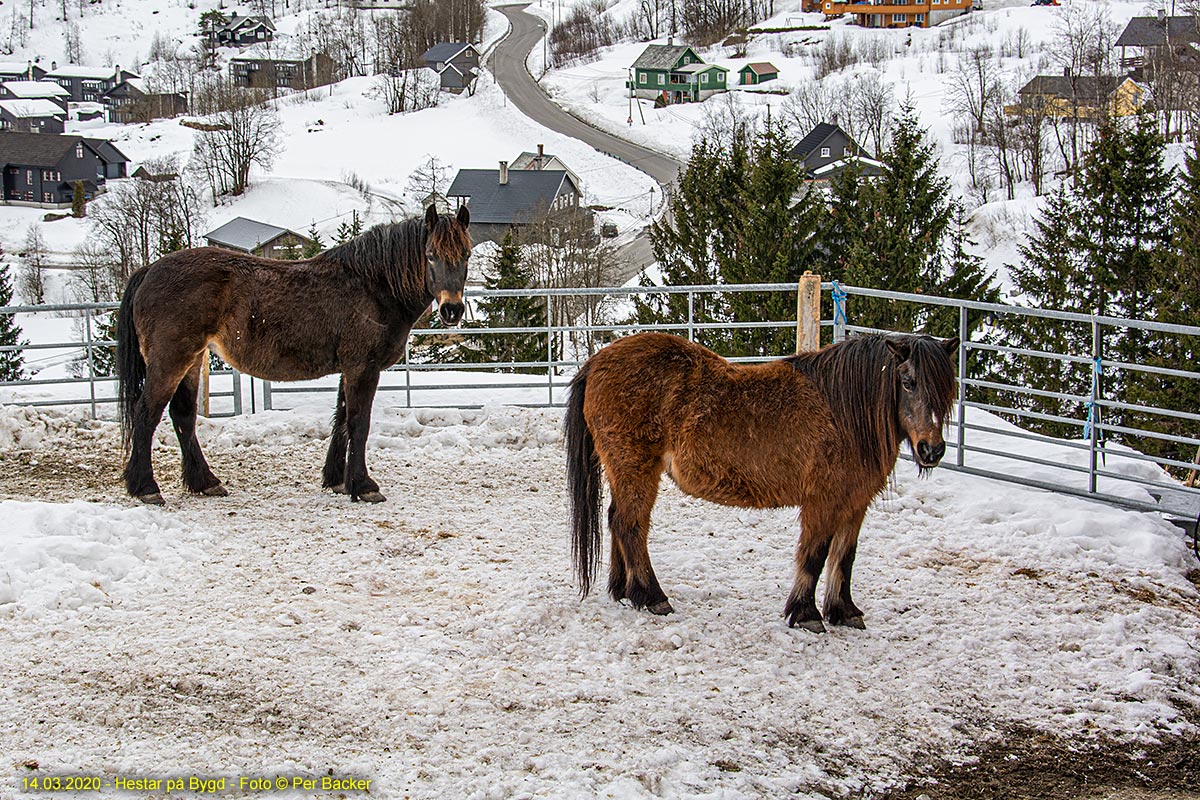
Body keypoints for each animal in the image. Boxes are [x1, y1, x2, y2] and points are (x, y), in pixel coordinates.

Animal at [117, 206, 470, 506]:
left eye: (465, 255)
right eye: (430, 256)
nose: (452, 310)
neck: (373, 285)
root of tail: (150, 269)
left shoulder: (349, 369)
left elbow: (341, 419)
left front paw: (337, 480)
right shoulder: (363, 367)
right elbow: (359, 423)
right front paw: (364, 486)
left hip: (192, 360)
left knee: (183, 416)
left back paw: (205, 482)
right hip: (170, 361)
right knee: (146, 414)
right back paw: (146, 488)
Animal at [566, 331, 960, 633]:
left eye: (947, 389)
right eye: (908, 382)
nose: (932, 450)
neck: (842, 412)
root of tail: (597, 362)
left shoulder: (854, 503)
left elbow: (844, 557)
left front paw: (844, 611)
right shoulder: (822, 501)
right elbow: (814, 556)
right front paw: (806, 614)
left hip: (625, 471)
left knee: (618, 520)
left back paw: (624, 590)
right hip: (635, 468)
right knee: (630, 525)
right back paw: (651, 595)